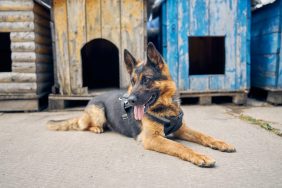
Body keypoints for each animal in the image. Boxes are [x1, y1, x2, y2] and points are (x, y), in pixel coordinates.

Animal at [46, 43, 236, 167]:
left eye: (146, 80)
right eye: (133, 81)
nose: (129, 100)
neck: (164, 107)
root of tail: (93, 98)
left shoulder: (182, 129)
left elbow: (203, 135)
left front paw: (220, 143)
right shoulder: (152, 138)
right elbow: (179, 146)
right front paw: (200, 156)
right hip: (98, 112)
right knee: (82, 125)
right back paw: (96, 128)